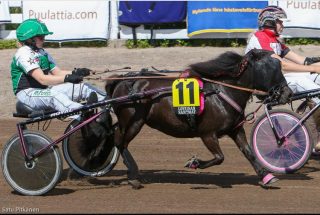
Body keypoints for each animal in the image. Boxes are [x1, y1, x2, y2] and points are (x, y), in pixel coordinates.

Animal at [104, 48, 292, 188]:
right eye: (272, 67)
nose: (287, 93)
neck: (222, 92)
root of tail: (121, 80)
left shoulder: (236, 130)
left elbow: (249, 152)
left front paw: (267, 176)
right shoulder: (207, 134)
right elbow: (220, 157)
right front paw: (195, 163)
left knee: (118, 137)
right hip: (134, 121)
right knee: (120, 141)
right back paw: (133, 176)